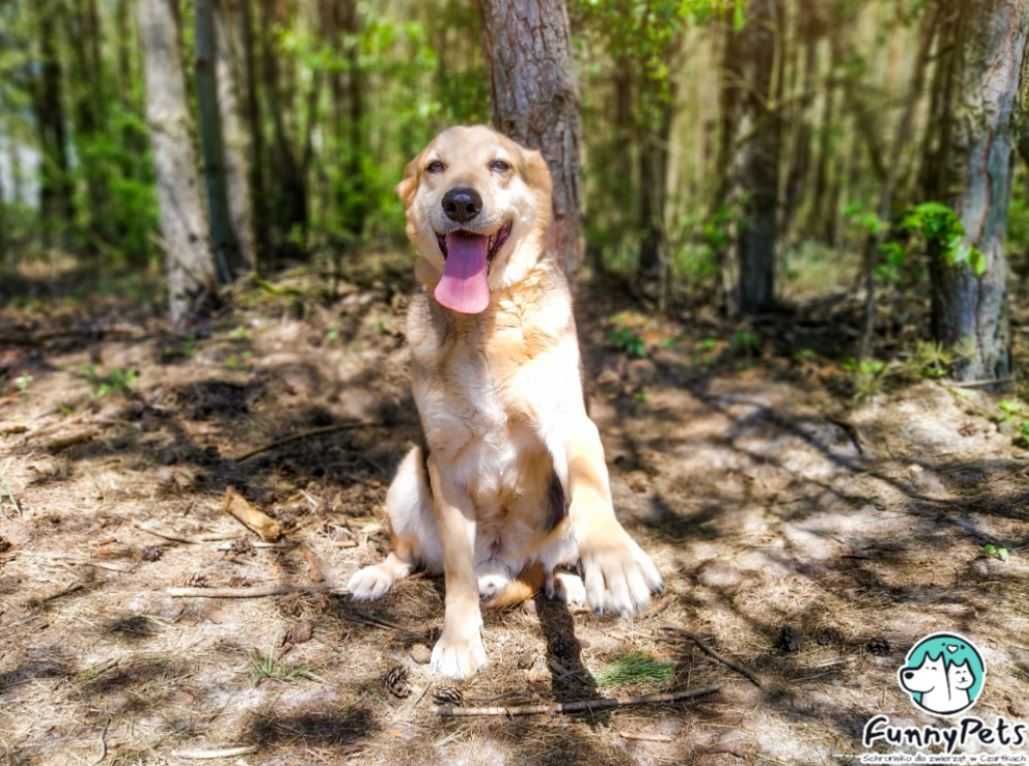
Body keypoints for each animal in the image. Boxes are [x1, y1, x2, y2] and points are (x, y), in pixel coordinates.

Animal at [349, 127, 662, 683]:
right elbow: (455, 574)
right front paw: (458, 638)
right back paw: (380, 574)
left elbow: (593, 492)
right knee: (411, 556)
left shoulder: (570, 426)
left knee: (544, 568)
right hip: (409, 473)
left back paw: (566, 583)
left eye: (500, 165)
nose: (460, 202)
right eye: (435, 167)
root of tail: (500, 559)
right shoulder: (446, 463)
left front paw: (613, 558)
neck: (485, 319)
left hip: (554, 529)